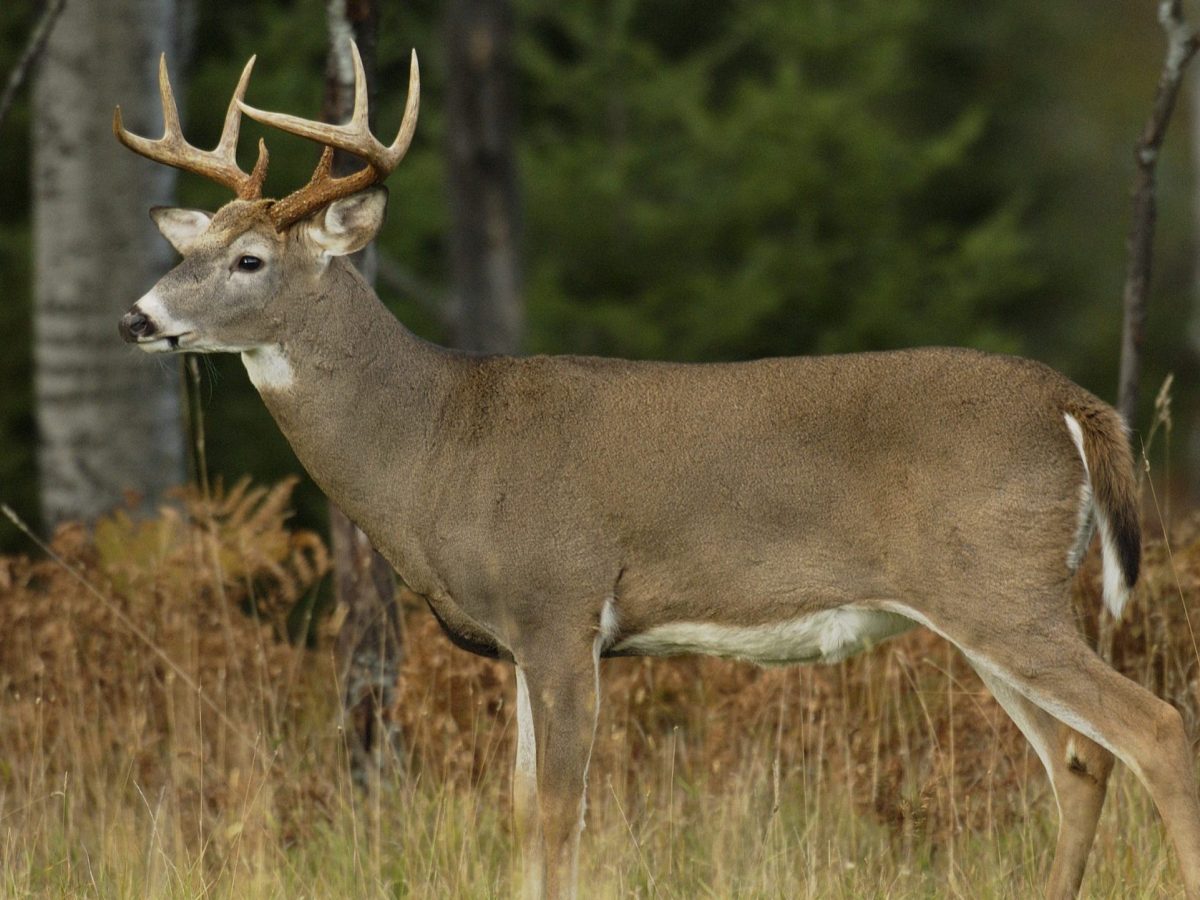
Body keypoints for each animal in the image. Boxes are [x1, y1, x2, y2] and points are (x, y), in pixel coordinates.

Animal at [113, 42, 1200, 900]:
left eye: (250, 260)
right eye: (194, 246)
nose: (137, 317)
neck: (435, 443)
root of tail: (1076, 406)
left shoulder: (561, 605)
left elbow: (562, 815)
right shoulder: (521, 638)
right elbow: (522, 813)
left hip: (1001, 587)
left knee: (1153, 729)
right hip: (989, 602)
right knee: (1080, 763)